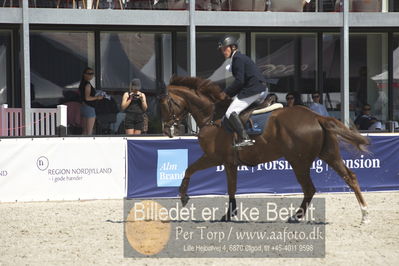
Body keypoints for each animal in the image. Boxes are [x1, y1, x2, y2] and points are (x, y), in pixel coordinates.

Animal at [160, 76, 372, 223]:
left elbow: (190, 170)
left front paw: (184, 196)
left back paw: (296, 216)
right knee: (350, 177)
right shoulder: (229, 162)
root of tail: (316, 116)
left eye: (165, 104)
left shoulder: (214, 157)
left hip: (299, 161)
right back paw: (364, 214)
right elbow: (230, 187)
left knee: (310, 188)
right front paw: (230, 213)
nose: (166, 130)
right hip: (329, 154)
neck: (212, 116)